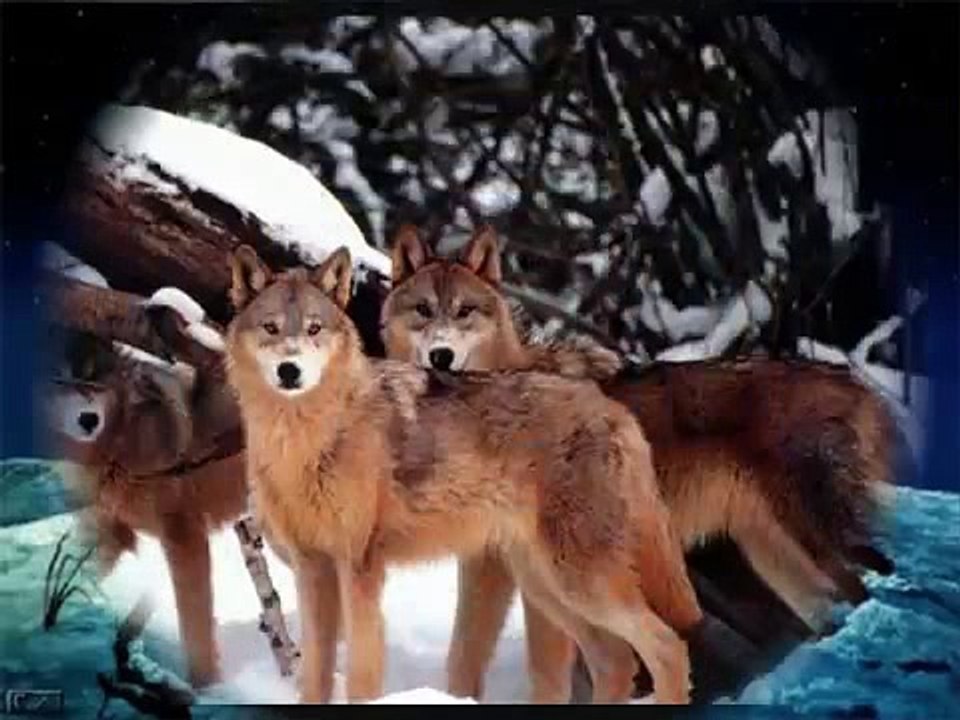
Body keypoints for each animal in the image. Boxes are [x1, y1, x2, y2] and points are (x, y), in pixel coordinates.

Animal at [45, 334, 247, 687]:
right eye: (59, 379)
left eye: (95, 378)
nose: (89, 420)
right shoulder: (108, 534)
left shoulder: (185, 537)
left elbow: (195, 626)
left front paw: (206, 688)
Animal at [221, 243, 746, 705]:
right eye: (271, 328)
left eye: (314, 329)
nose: (290, 370)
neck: (306, 442)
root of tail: (613, 409)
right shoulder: (312, 571)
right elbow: (312, 677)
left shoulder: (359, 570)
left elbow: (362, 676)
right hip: (546, 586)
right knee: (617, 661)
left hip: (579, 583)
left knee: (667, 648)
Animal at [381, 224, 898, 703]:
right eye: (423, 310)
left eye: (464, 311)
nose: (441, 356)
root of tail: (856, 385)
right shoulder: (490, 567)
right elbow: (463, 657)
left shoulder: (526, 582)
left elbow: (547, 673)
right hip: (775, 561)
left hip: (813, 544)